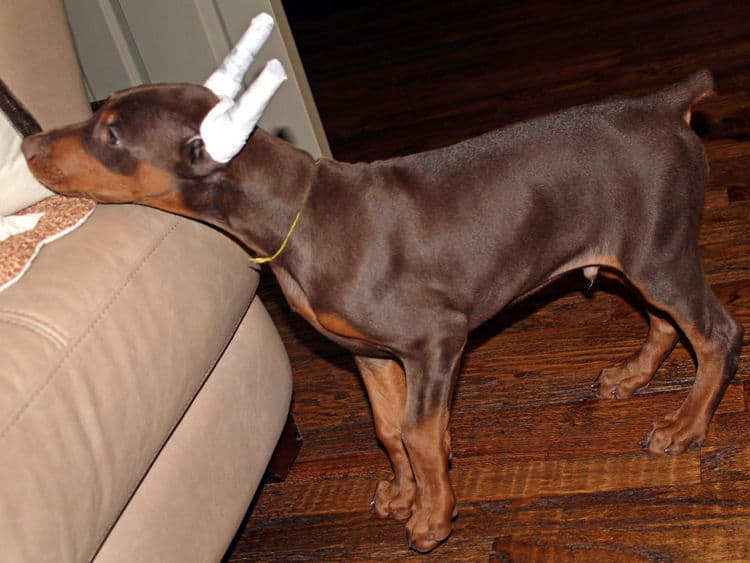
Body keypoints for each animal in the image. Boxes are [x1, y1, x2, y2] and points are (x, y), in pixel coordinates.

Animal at [23, 69, 748, 552]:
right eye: (104, 113)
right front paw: (404, 492)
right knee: (665, 320)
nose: (27, 147)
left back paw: (685, 426)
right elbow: (388, 427)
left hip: (657, 251)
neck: (297, 213)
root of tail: (663, 105)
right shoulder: (368, 352)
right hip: (636, 254)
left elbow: (421, 430)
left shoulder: (437, 340)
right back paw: (631, 376)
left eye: (111, 134)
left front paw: (433, 513)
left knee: (716, 333)